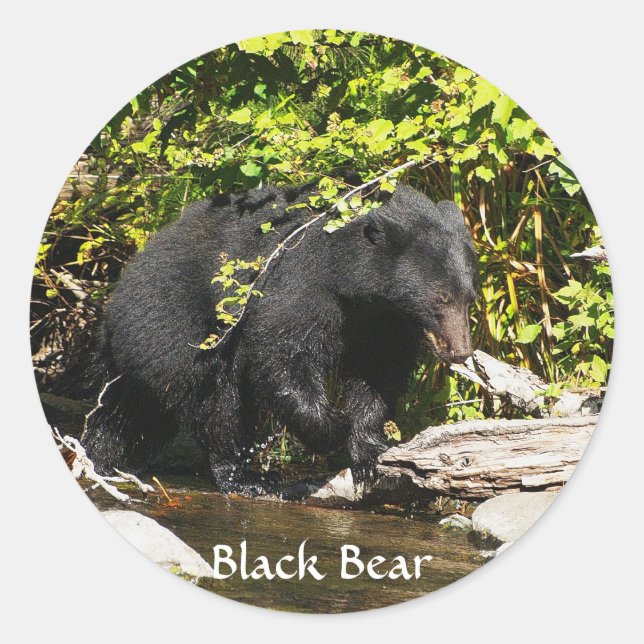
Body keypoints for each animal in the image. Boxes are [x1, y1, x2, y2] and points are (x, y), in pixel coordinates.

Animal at [82, 181, 478, 494]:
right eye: (439, 297)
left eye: (469, 297)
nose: (460, 351)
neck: (352, 277)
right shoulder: (300, 280)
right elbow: (285, 352)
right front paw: (333, 428)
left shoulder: (384, 323)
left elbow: (378, 373)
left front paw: (368, 450)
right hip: (180, 329)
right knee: (218, 405)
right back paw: (245, 478)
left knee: (127, 414)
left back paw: (102, 458)